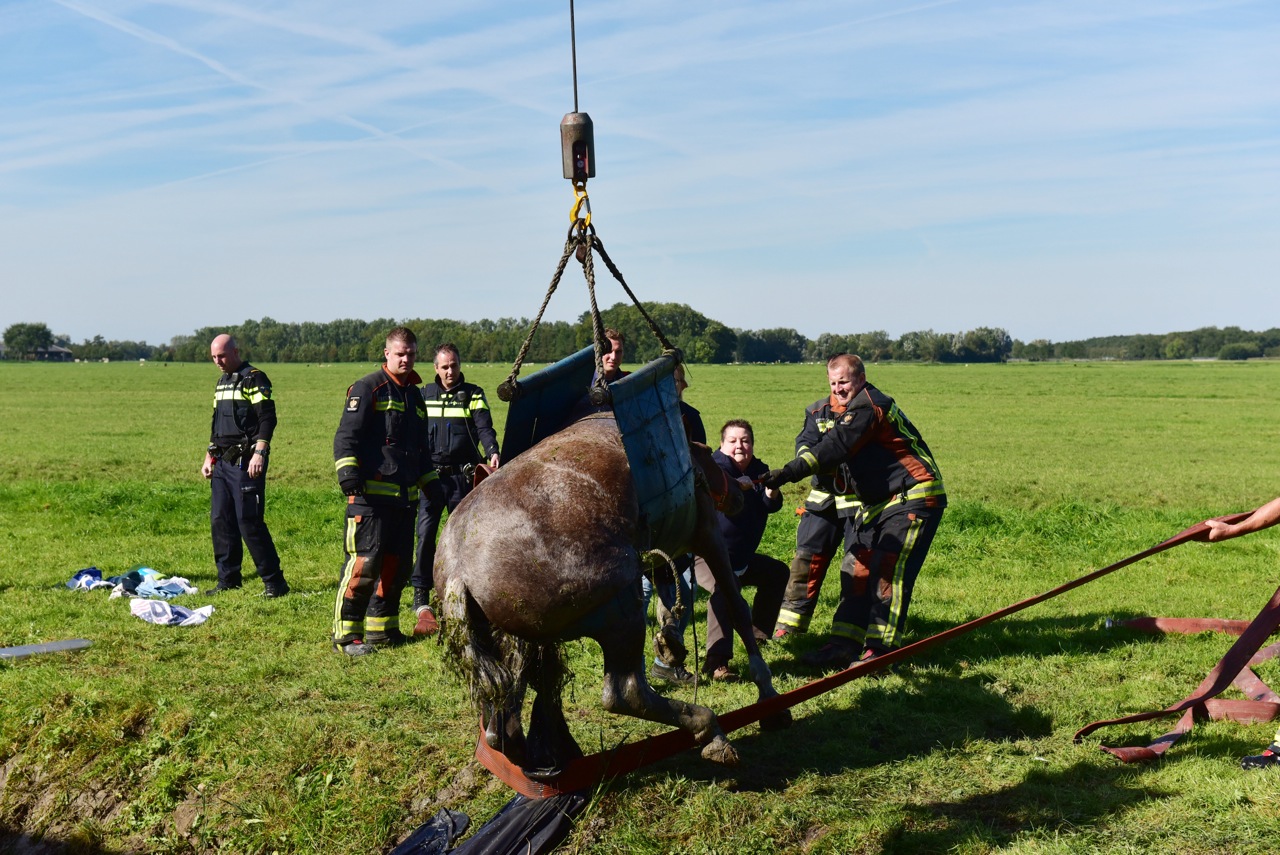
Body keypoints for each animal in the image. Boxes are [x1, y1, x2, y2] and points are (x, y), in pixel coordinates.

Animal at [435, 409, 783, 778]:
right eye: (714, 456)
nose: (742, 488)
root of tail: (458, 573)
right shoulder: (706, 533)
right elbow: (737, 606)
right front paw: (770, 697)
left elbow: (668, 598)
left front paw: (670, 642)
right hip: (622, 611)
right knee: (625, 694)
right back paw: (708, 728)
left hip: (516, 640)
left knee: (504, 722)